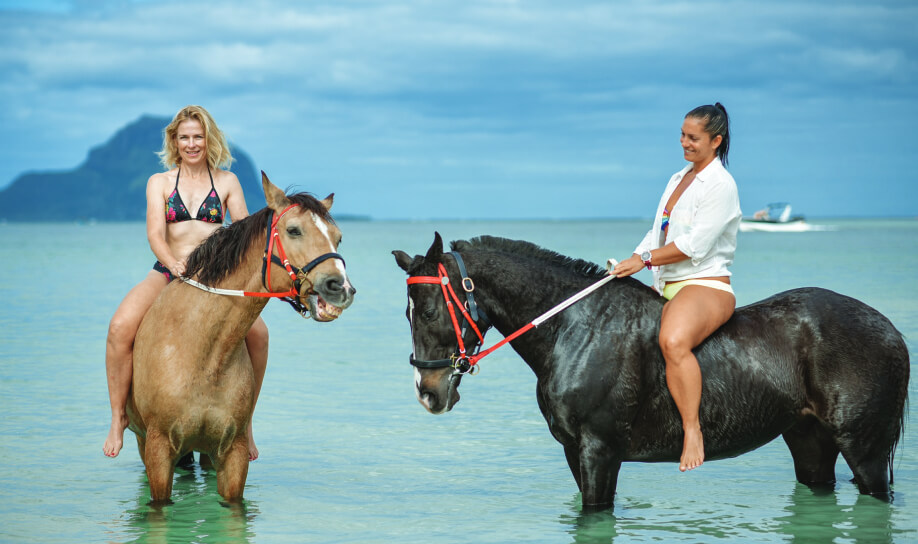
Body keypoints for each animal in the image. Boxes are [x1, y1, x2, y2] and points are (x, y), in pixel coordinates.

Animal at [127, 173, 356, 503]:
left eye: (338, 237)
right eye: (294, 230)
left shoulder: (232, 452)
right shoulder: (158, 451)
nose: (341, 288)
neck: (205, 356)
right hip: (142, 440)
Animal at [392, 233, 909, 512]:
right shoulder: (574, 452)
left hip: (865, 451)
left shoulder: (600, 451)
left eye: (431, 310)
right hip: (809, 439)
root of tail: (890, 329)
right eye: (408, 312)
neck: (576, 328)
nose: (427, 393)